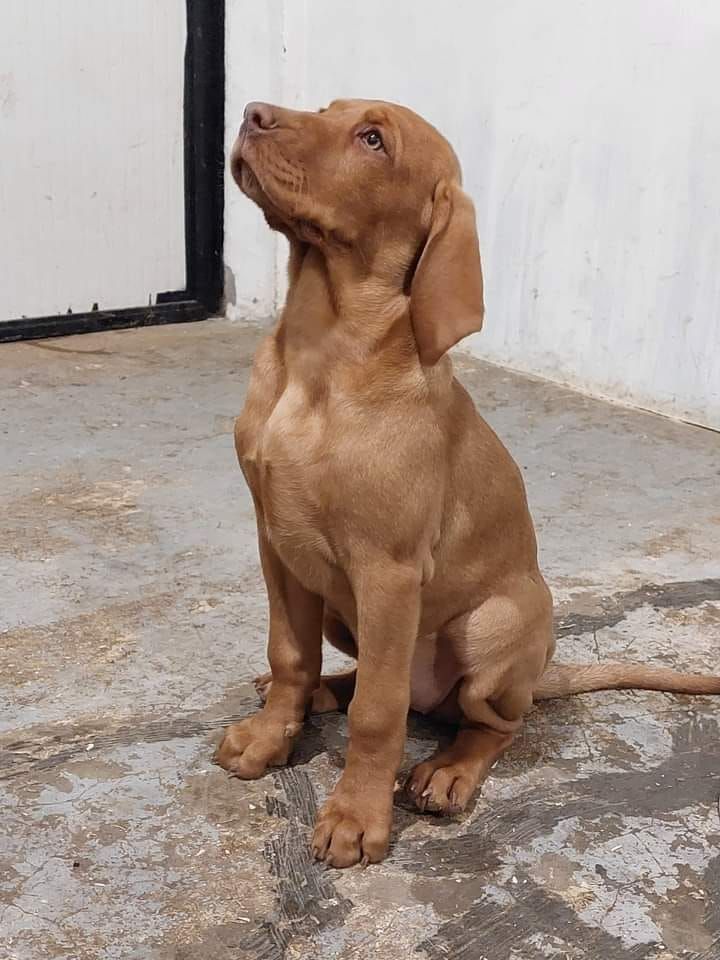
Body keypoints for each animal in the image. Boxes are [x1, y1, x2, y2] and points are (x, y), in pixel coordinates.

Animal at [216, 99, 720, 868]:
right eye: (328, 108)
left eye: (373, 139)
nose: (253, 114)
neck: (319, 353)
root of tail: (545, 671)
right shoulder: (277, 543)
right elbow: (290, 653)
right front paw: (273, 734)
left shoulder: (389, 571)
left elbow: (379, 712)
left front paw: (357, 815)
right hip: (340, 606)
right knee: (376, 682)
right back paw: (324, 693)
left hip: (493, 626)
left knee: (486, 721)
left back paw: (448, 771)